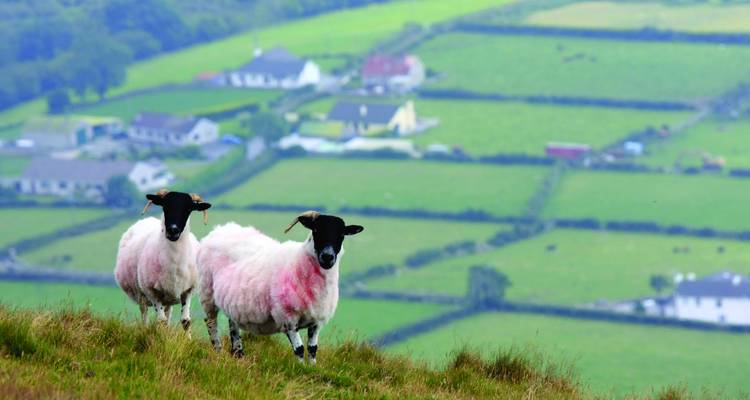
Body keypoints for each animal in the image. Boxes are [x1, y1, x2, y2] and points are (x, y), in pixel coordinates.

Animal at [114, 189, 212, 333]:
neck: (175, 261)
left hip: (169, 297)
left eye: (189, 208)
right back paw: (145, 329)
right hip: (141, 294)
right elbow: (161, 322)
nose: (173, 230)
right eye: (165, 205)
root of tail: (147, 219)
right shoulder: (152, 292)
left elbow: (186, 321)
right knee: (145, 314)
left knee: (168, 313)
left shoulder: (188, 290)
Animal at [197, 211, 363, 363]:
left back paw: (238, 354)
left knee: (233, 324)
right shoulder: (287, 317)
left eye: (342, 234)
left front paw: (312, 367)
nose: (327, 257)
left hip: (233, 301)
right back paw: (218, 351)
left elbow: (312, 349)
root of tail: (220, 229)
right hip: (207, 291)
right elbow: (299, 349)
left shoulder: (316, 321)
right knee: (211, 322)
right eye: (316, 230)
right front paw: (301, 368)